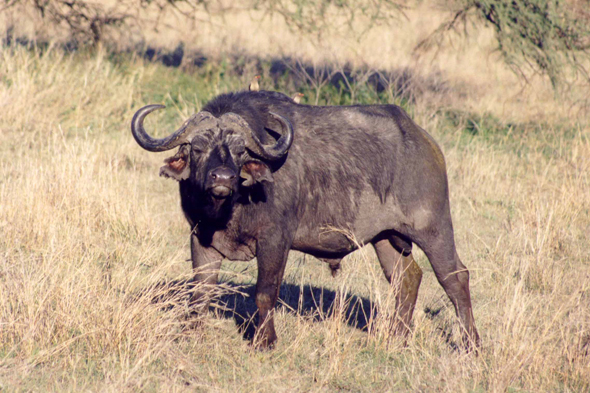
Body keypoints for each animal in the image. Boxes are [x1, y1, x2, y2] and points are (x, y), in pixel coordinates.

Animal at [130, 90, 480, 348]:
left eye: (241, 150)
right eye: (197, 147)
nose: (223, 177)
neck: (229, 208)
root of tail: (424, 141)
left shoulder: (275, 241)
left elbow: (265, 292)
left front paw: (265, 341)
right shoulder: (200, 238)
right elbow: (200, 291)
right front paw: (190, 332)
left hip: (433, 228)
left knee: (455, 277)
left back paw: (470, 344)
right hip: (386, 238)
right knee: (406, 278)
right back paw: (397, 338)